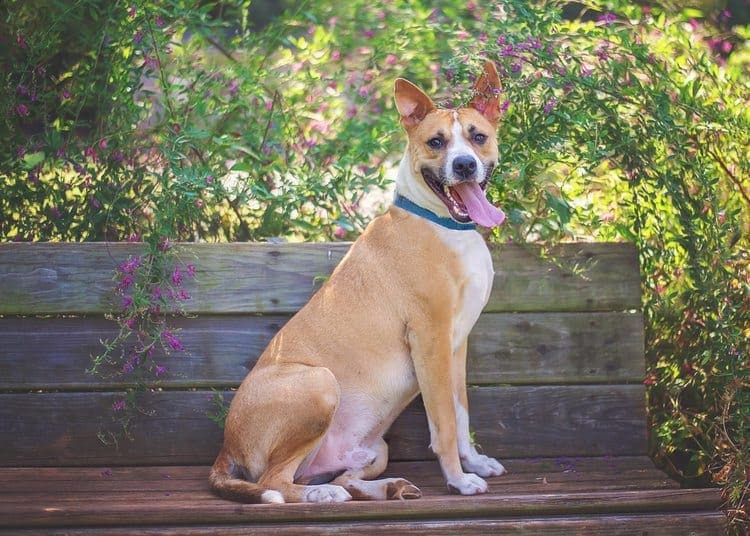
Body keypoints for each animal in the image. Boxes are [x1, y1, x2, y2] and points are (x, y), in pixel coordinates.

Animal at [209, 60, 508, 504]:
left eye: (478, 137)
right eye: (436, 142)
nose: (465, 166)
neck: (442, 224)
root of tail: (225, 447)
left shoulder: (456, 346)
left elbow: (461, 413)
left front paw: (474, 463)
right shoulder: (431, 339)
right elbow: (444, 425)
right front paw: (458, 479)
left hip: (373, 449)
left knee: (342, 476)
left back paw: (388, 486)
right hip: (319, 383)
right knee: (273, 483)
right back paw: (323, 496)